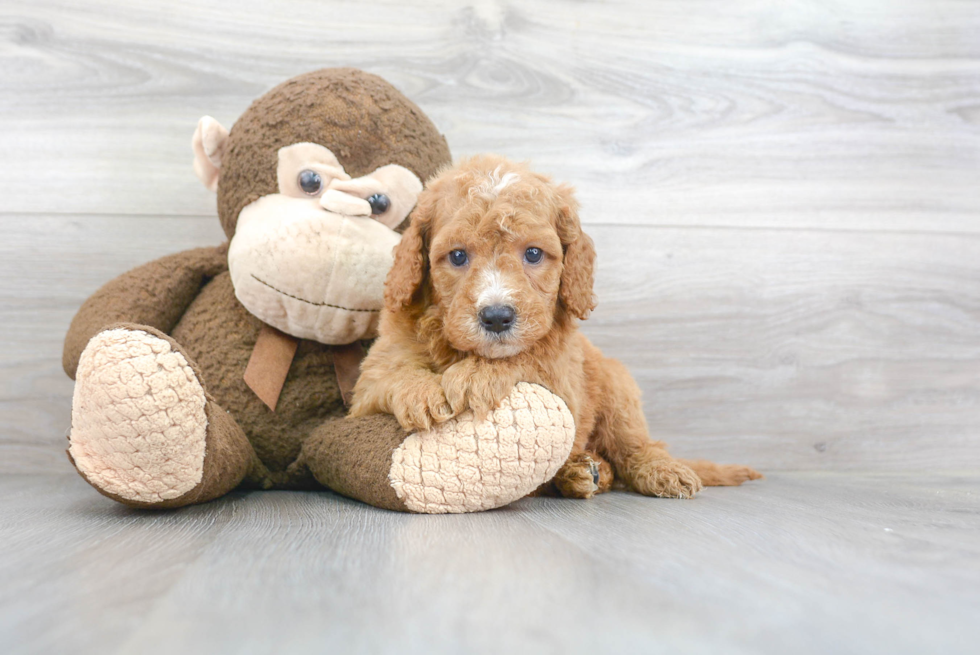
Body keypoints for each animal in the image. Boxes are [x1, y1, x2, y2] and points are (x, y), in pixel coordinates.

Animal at [348, 156, 760, 500]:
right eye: (458, 256)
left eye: (533, 254)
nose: (496, 317)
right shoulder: (368, 385)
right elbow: (389, 374)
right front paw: (419, 392)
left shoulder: (562, 373)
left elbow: (528, 357)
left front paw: (478, 375)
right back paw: (584, 472)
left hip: (617, 386)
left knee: (636, 445)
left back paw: (655, 471)